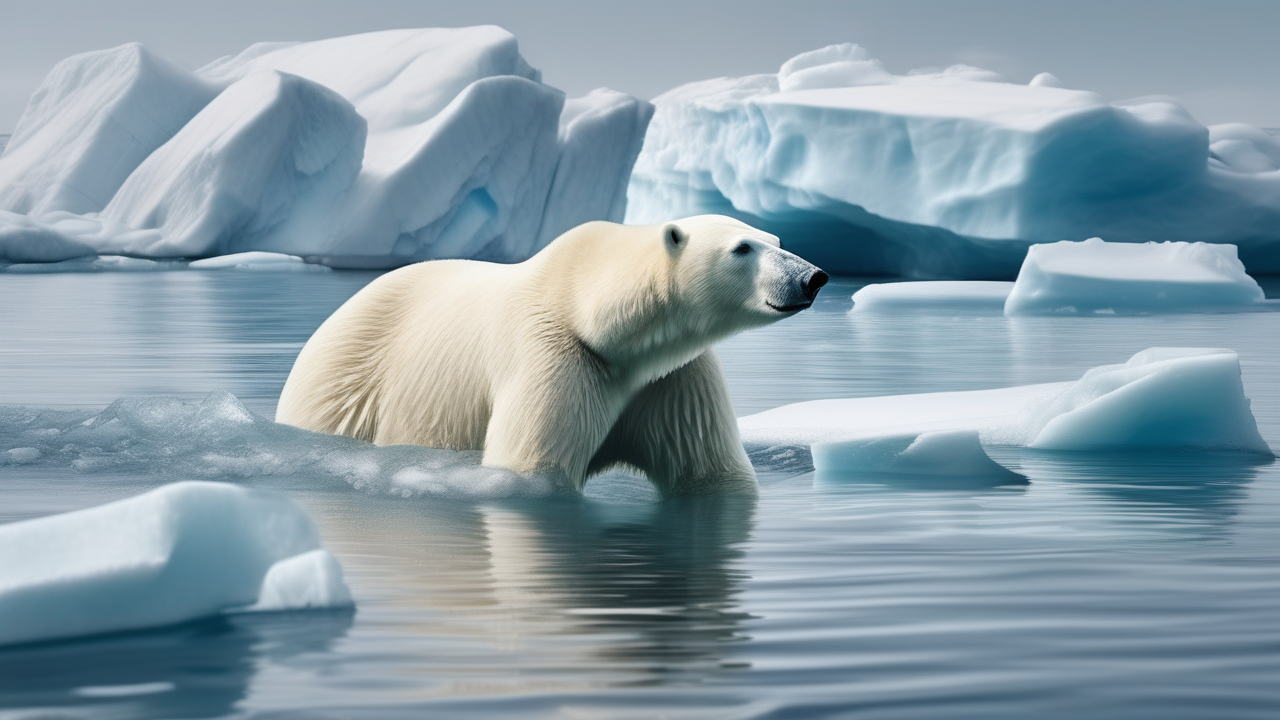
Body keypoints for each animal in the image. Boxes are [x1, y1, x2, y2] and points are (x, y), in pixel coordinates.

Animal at [276, 215, 827, 496]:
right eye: (742, 248)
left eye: (776, 239)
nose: (813, 276)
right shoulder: (555, 357)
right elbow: (532, 467)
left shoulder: (673, 375)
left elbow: (709, 466)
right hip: (345, 383)